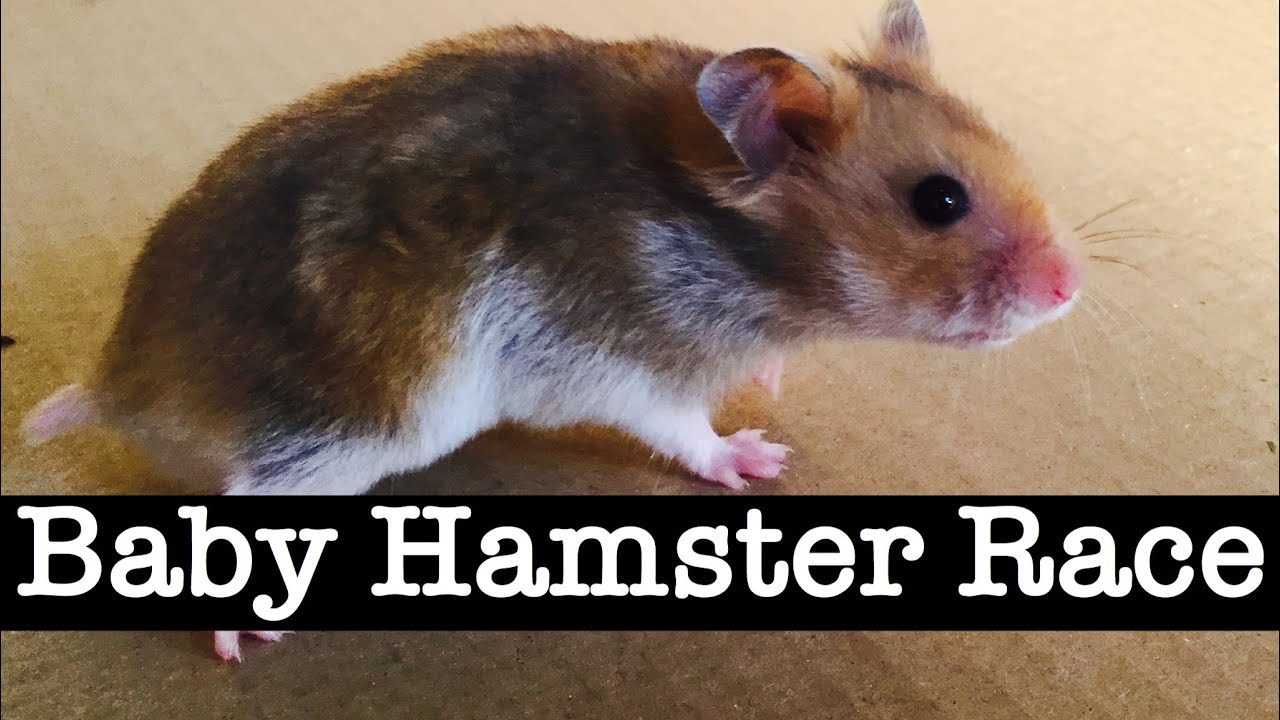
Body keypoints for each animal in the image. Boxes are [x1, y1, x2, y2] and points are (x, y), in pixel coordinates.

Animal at [22, 1, 1079, 659]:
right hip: (365, 423)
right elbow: (686, 432)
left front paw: (772, 385)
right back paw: (241, 643)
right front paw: (759, 459)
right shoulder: (624, 365)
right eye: (939, 200)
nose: (1072, 288)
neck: (737, 247)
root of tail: (122, 384)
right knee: (247, 494)